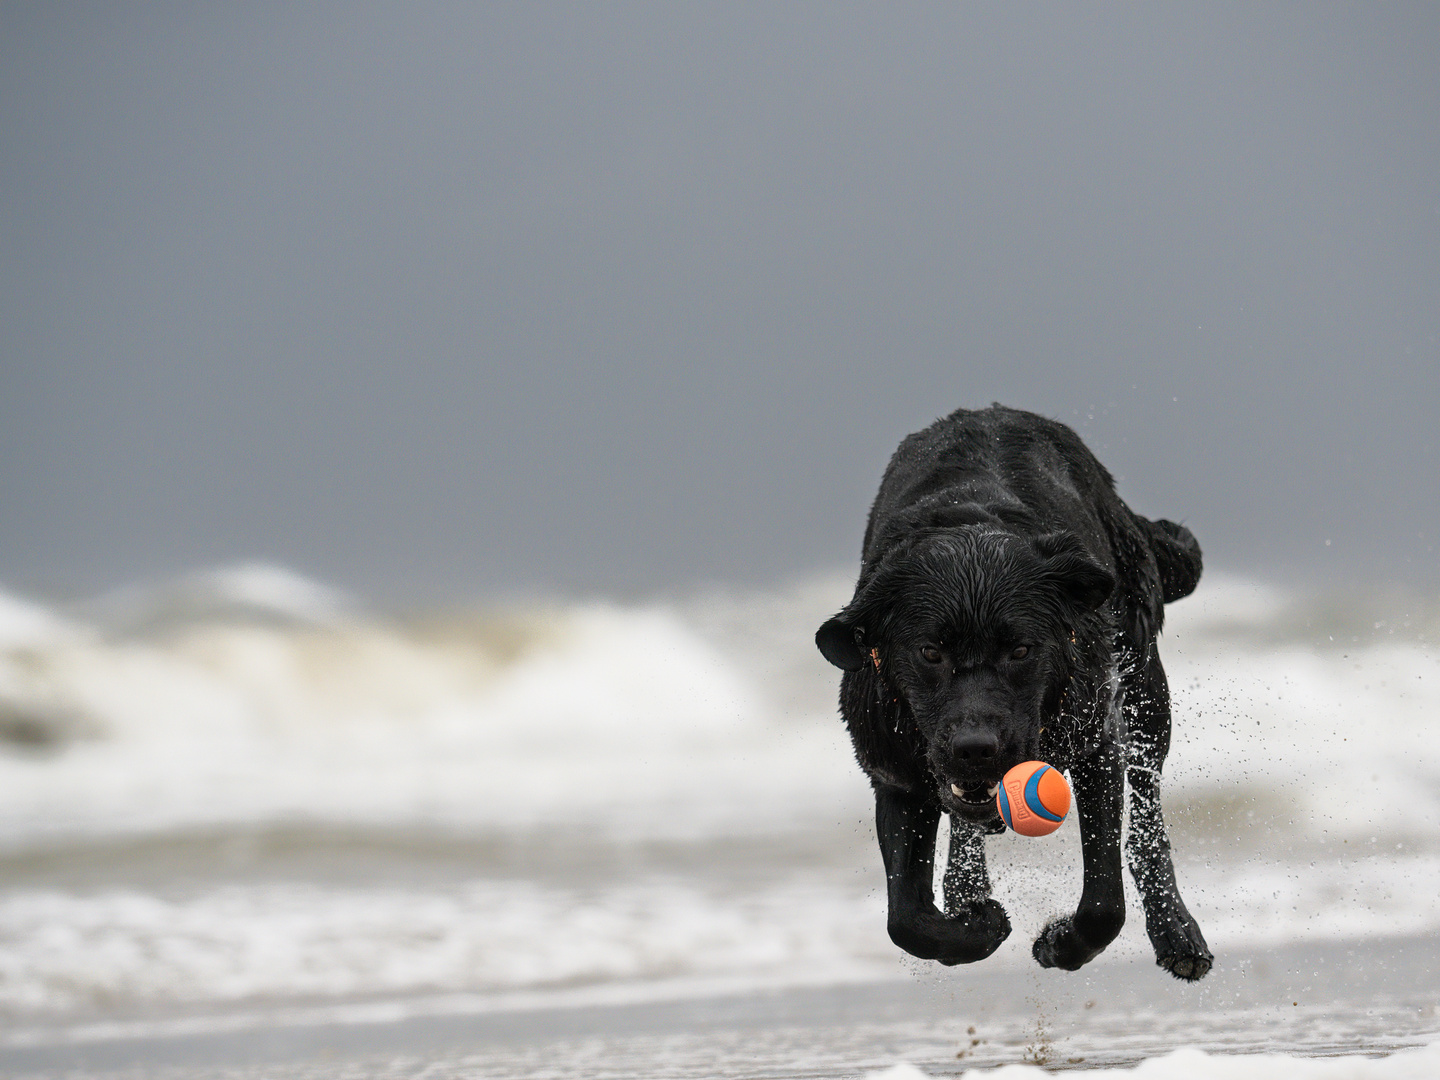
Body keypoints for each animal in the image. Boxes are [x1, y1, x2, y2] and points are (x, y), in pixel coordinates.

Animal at [817, 406, 1209, 979]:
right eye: (929, 652)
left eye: (1021, 650)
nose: (976, 748)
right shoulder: (896, 773)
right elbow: (906, 921)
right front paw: (975, 927)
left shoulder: (1096, 745)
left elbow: (1104, 903)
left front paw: (1060, 944)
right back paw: (966, 890)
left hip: (1144, 691)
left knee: (1147, 828)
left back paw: (1176, 932)